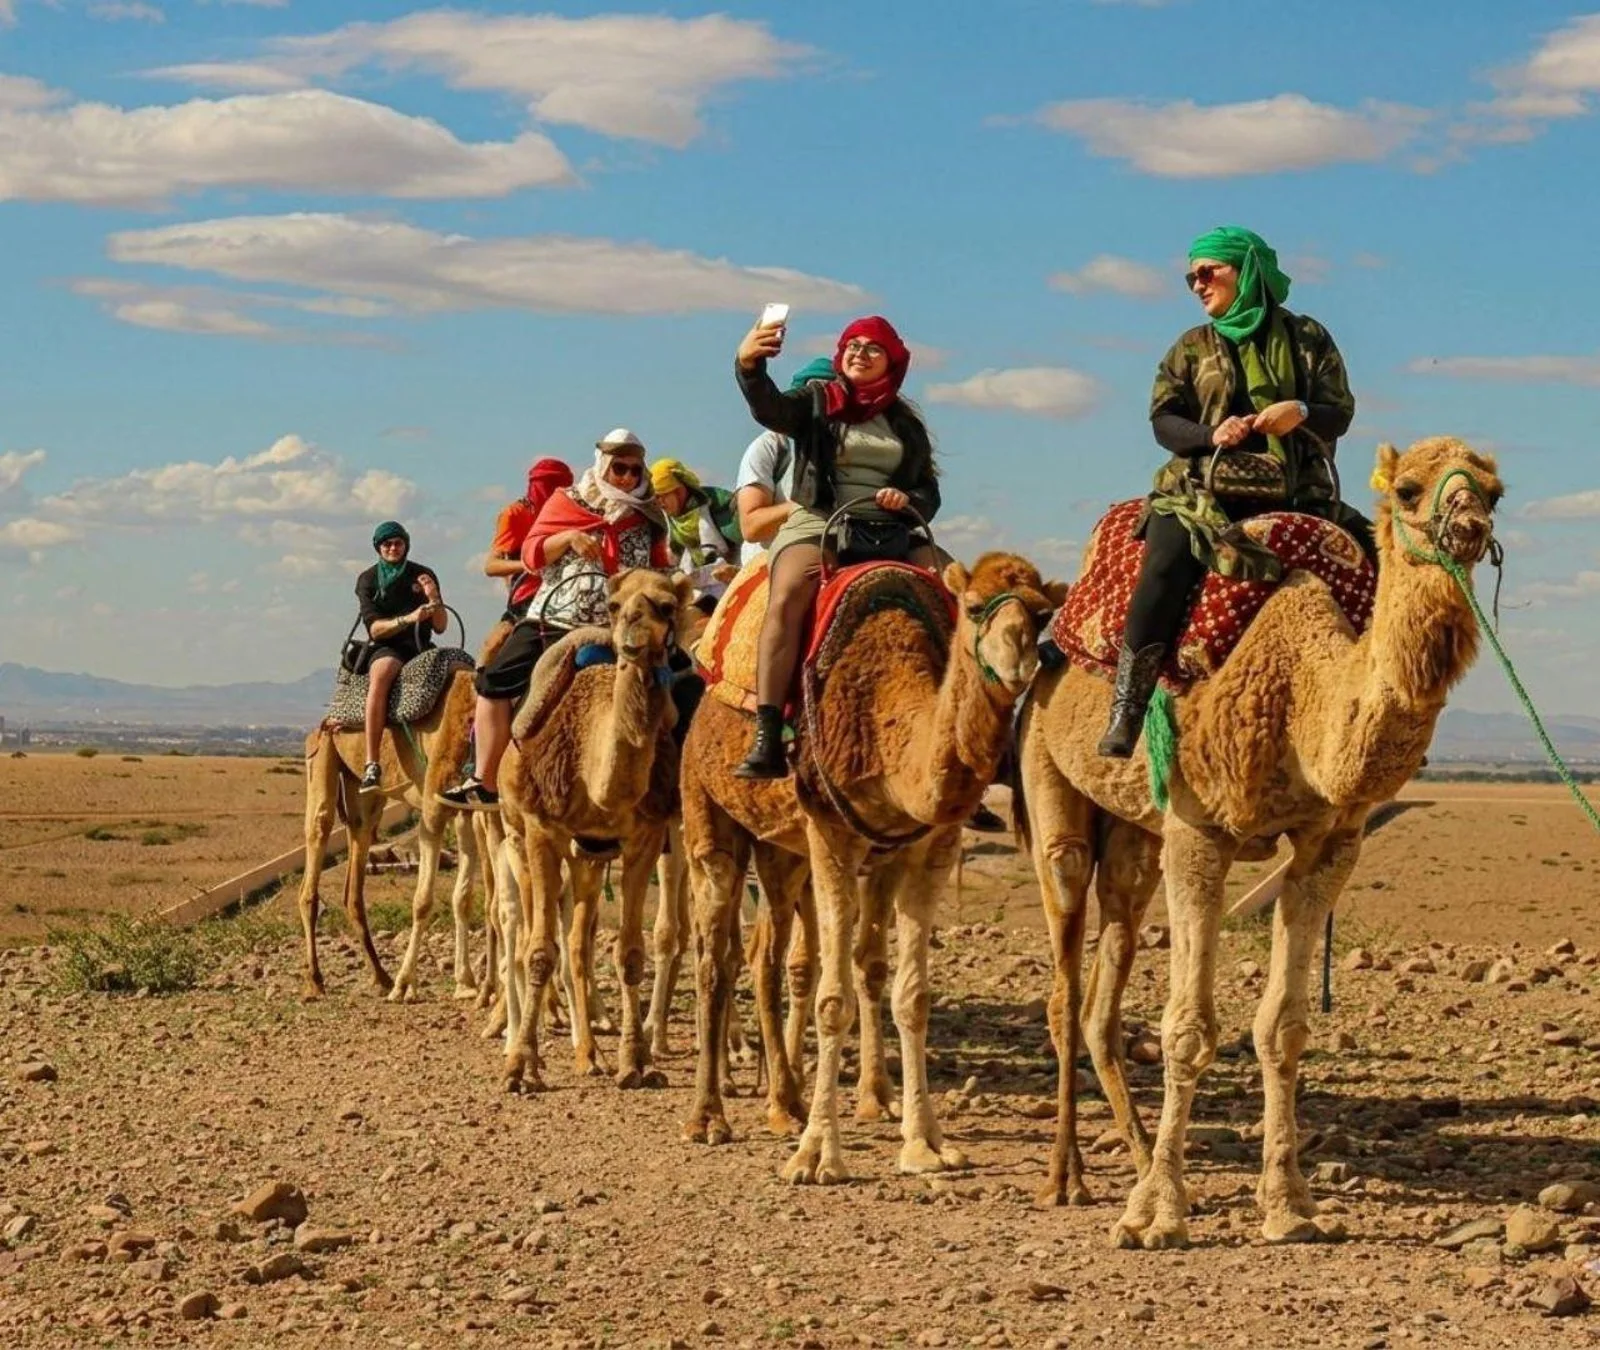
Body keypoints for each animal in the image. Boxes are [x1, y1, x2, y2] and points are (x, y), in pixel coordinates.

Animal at [297, 665, 482, 1002]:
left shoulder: (466, 809)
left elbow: (463, 898)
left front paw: (466, 983)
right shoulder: (433, 808)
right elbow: (422, 901)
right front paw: (406, 985)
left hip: (364, 799)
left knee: (355, 877)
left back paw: (380, 976)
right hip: (321, 758)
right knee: (317, 839)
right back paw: (316, 981)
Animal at [499, 567, 696, 1092]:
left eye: (667, 606)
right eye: (613, 604)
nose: (633, 635)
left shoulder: (644, 837)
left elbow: (629, 953)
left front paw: (633, 1063)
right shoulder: (543, 830)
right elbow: (539, 952)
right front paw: (520, 1068)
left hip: (588, 856)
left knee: (577, 943)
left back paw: (591, 1054)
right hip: (515, 834)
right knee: (528, 934)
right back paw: (525, 1044)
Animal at [681, 552, 1064, 1180]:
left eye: (1041, 614)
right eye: (973, 606)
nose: (1018, 660)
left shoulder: (924, 847)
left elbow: (908, 993)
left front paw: (924, 1141)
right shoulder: (832, 835)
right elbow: (832, 999)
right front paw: (817, 1155)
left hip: (782, 852)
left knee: (767, 957)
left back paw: (784, 1104)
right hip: (708, 813)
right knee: (715, 957)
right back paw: (708, 1117)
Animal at [1017, 437, 1502, 1247]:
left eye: (1496, 491)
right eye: (1408, 489)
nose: (1467, 527)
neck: (1304, 695)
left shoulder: (1330, 844)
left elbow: (1284, 1028)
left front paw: (1290, 1206)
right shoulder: (1198, 831)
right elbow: (1186, 1029)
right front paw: (1159, 1214)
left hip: (1134, 838)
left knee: (1102, 991)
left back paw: (1136, 1156)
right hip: (1048, 775)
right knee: (1063, 982)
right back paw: (1069, 1178)